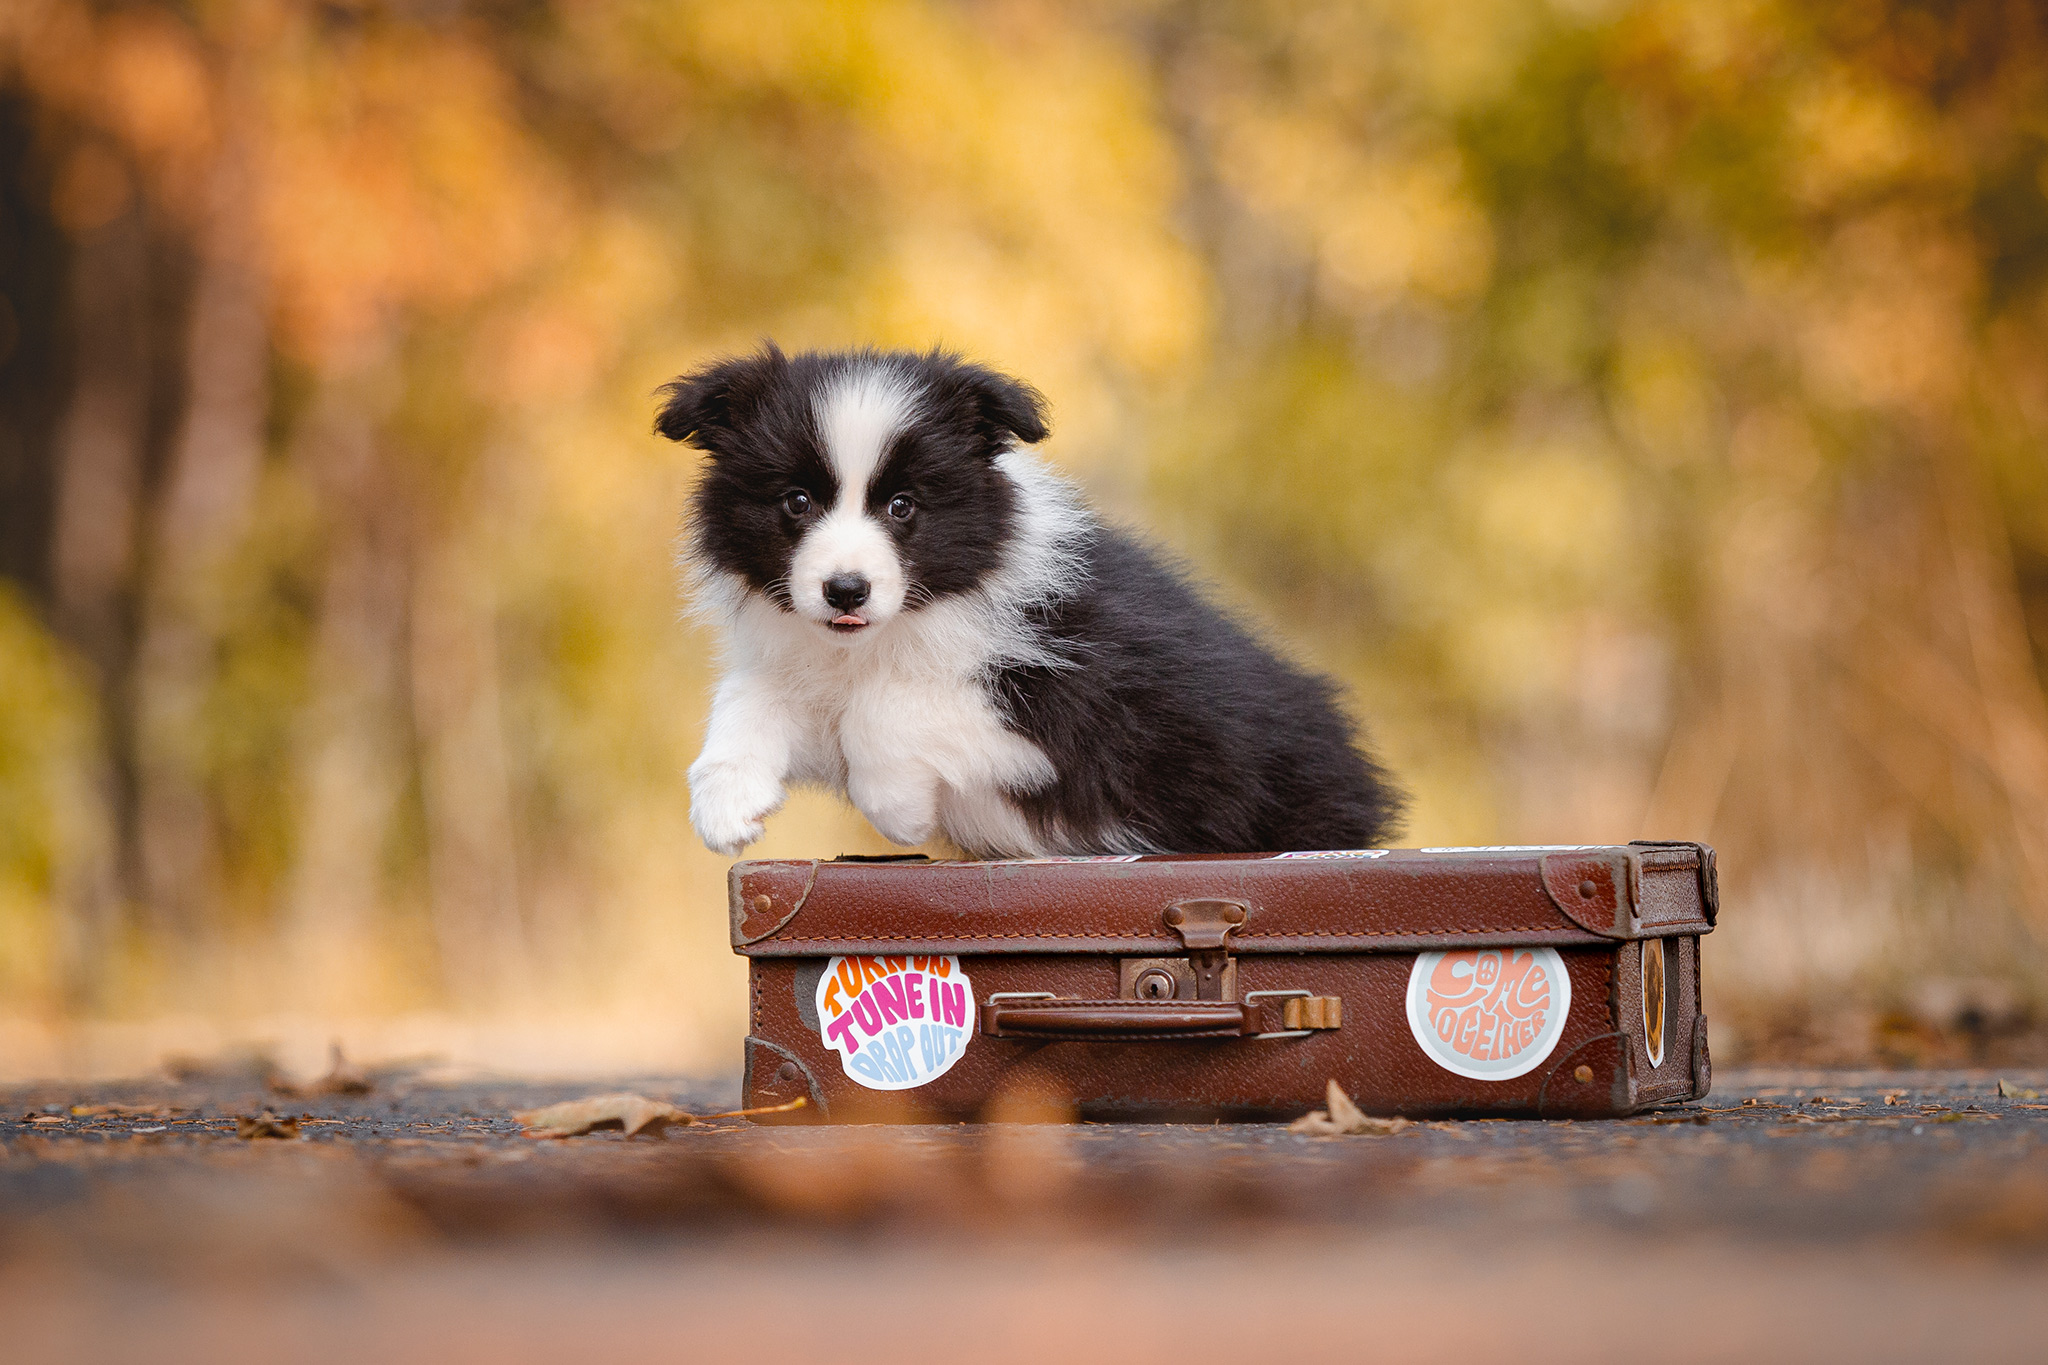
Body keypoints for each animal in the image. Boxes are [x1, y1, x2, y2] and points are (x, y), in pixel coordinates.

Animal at [663, 343, 1400, 855]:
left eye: (903, 505)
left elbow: (885, 711)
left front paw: (900, 809)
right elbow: (750, 698)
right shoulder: (804, 657)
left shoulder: (1072, 696)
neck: (885, 634)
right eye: (796, 501)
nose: (846, 588)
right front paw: (726, 803)